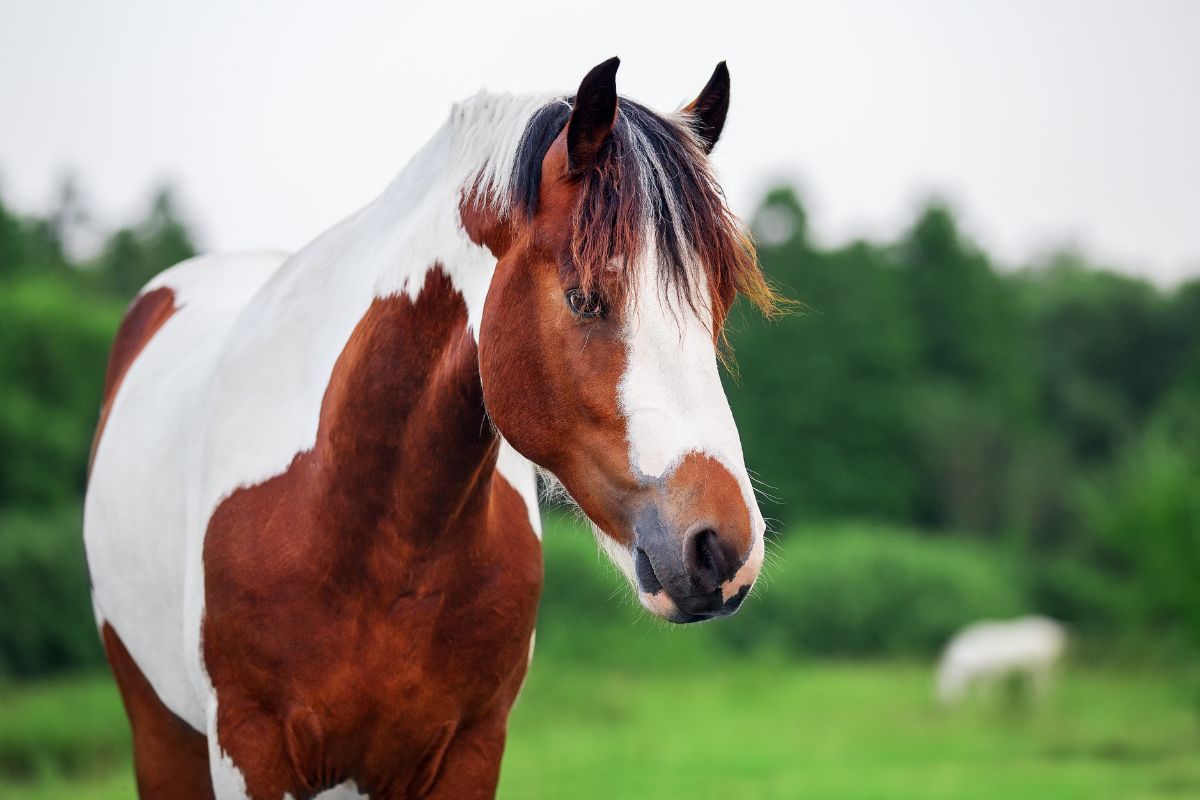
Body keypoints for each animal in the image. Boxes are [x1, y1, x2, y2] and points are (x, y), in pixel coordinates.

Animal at [87, 57, 777, 800]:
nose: (721, 548)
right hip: (161, 732)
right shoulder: (250, 749)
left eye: (717, 304)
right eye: (585, 298)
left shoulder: (469, 751)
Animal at [936, 618, 1070, 705]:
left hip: (1043, 667)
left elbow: (987, 691)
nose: (942, 705)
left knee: (1043, 684)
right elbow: (983, 690)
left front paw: (987, 704)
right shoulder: (984, 676)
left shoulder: (990, 673)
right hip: (1048, 667)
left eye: (944, 686)